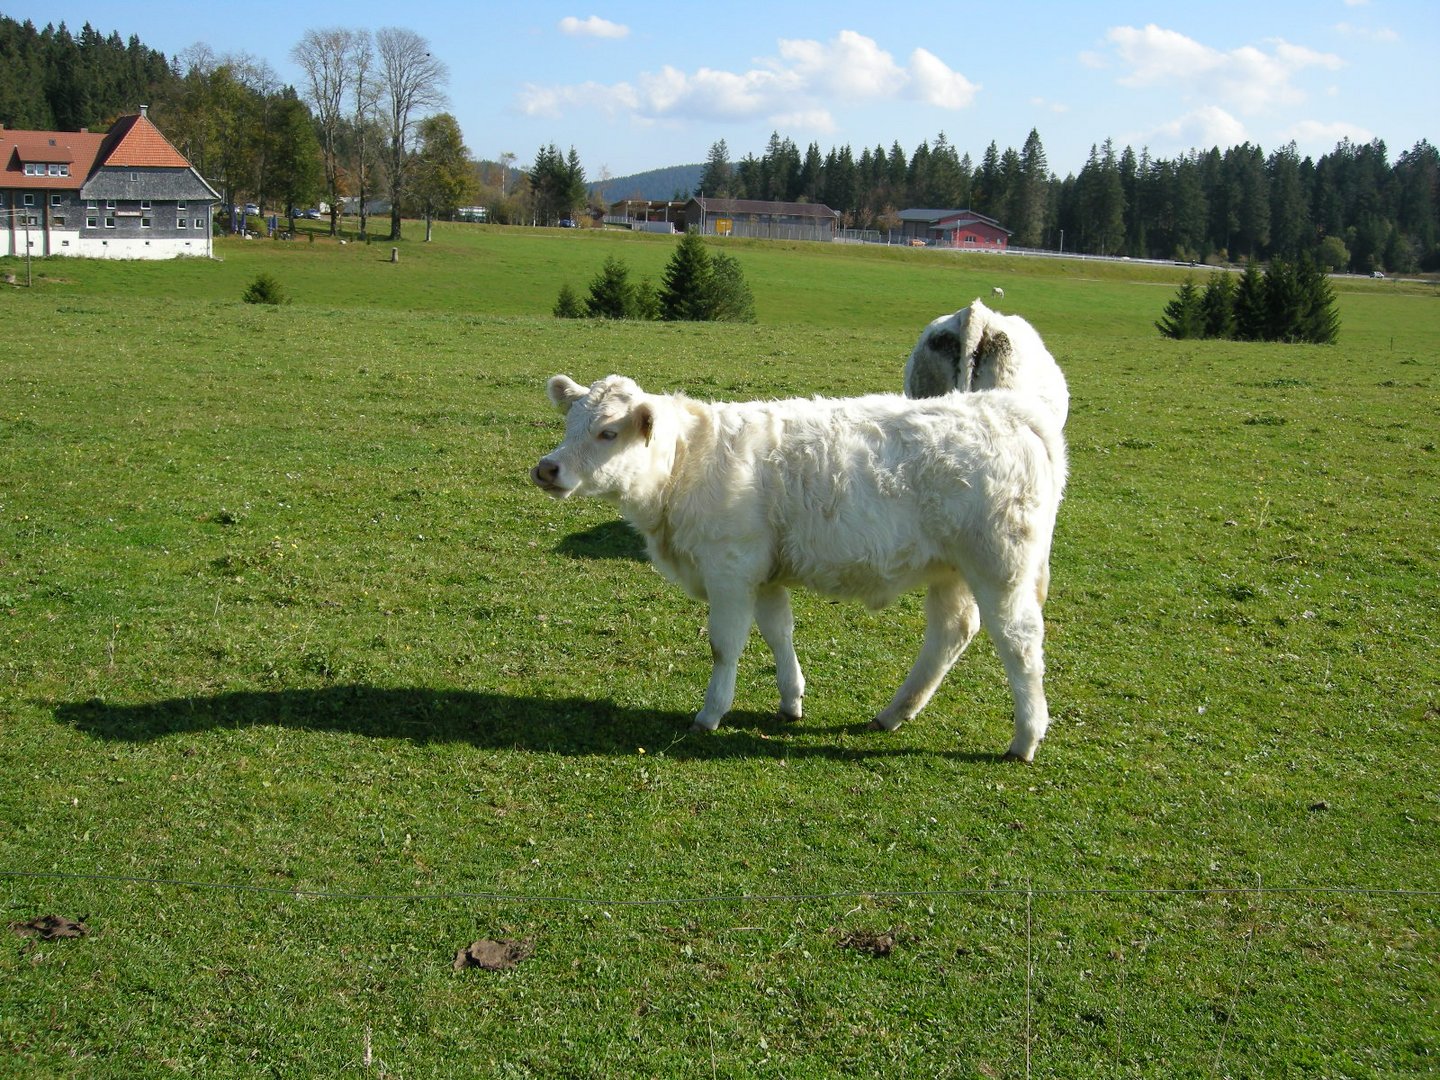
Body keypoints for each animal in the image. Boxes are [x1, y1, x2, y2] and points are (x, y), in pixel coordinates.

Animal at [532, 377, 1071, 766]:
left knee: (1020, 643)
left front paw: (710, 713)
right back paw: (894, 714)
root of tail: (1003, 408)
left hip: (1001, 569)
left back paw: (1025, 739)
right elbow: (778, 632)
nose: (547, 468)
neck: (687, 465)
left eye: (607, 432)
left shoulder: (730, 568)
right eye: (569, 425)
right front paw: (791, 700)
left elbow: (724, 645)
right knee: (951, 633)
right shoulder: (765, 573)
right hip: (950, 571)